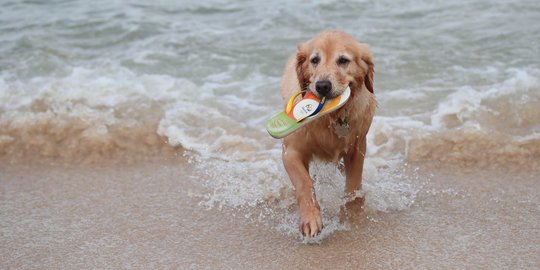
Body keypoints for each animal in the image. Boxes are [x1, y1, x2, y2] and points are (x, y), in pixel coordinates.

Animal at [280, 31, 378, 236]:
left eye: (343, 60)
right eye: (315, 60)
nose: (323, 85)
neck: (332, 116)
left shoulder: (357, 148)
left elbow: (353, 185)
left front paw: (351, 213)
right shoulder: (291, 151)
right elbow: (304, 183)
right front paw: (311, 218)